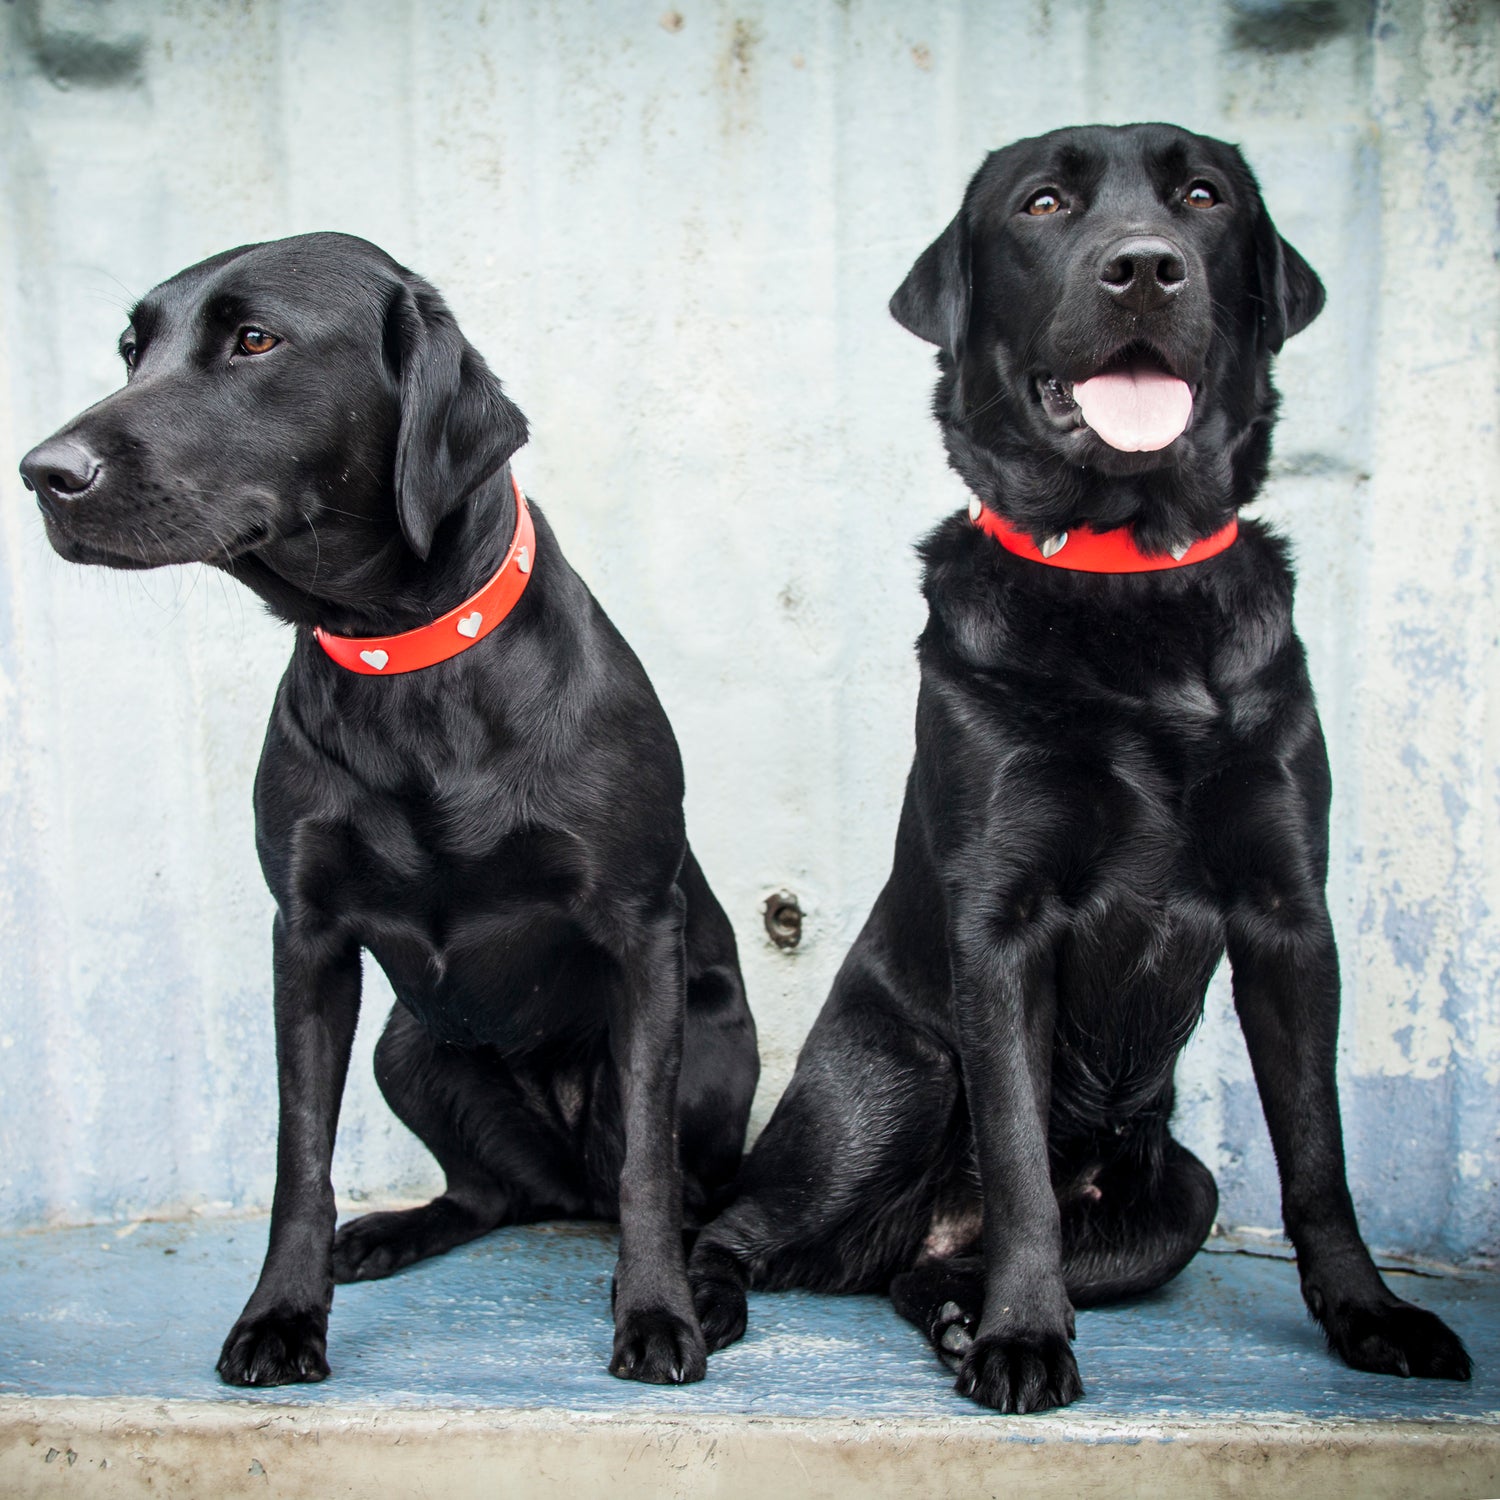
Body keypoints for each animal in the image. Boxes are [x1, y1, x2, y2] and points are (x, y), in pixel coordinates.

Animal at [17, 228, 756, 1386]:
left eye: (255, 339)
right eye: (132, 350)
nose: (44, 473)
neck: (402, 660)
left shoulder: (643, 935)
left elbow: (647, 1162)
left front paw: (657, 1313)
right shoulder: (308, 938)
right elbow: (300, 1157)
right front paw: (281, 1314)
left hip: (715, 1047)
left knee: (670, 1189)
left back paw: (704, 1283)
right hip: (406, 1051)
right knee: (494, 1193)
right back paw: (390, 1232)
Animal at [693, 123, 1476, 1410]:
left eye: (1203, 196)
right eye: (1045, 205)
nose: (1145, 267)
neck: (1127, 575)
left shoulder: (1288, 914)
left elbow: (1319, 1156)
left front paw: (1371, 1316)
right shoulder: (1003, 924)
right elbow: (1019, 1166)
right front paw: (1024, 1337)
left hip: (1185, 1193)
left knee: (929, 1274)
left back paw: (954, 1310)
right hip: (892, 1089)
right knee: (739, 1227)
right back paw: (724, 1303)